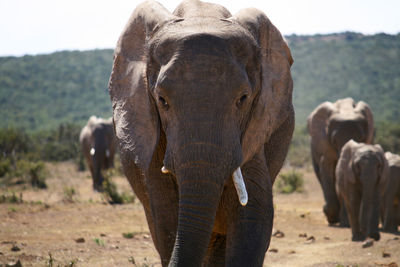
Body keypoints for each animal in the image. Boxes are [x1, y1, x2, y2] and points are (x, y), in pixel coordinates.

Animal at [306, 97, 376, 225]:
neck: (346, 108)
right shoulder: (324, 142)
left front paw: (345, 223)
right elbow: (327, 168)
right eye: (334, 140)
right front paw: (331, 216)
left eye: (362, 138)